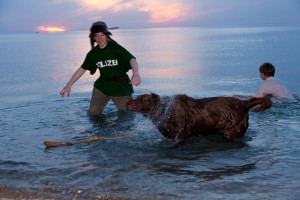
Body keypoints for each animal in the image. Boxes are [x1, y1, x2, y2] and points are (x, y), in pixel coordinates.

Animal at [126, 94, 272, 144]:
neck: (164, 111)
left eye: (140, 98)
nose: (127, 101)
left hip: (233, 132)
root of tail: (244, 103)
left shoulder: (180, 135)